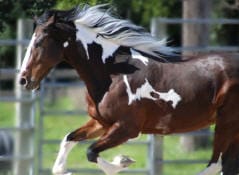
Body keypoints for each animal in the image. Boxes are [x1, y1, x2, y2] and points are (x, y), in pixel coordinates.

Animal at [19, 3, 239, 175]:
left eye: (39, 42)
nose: (23, 80)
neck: (112, 74)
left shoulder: (127, 128)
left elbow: (91, 152)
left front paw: (123, 160)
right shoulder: (101, 123)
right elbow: (68, 141)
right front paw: (64, 169)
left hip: (226, 123)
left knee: (216, 164)